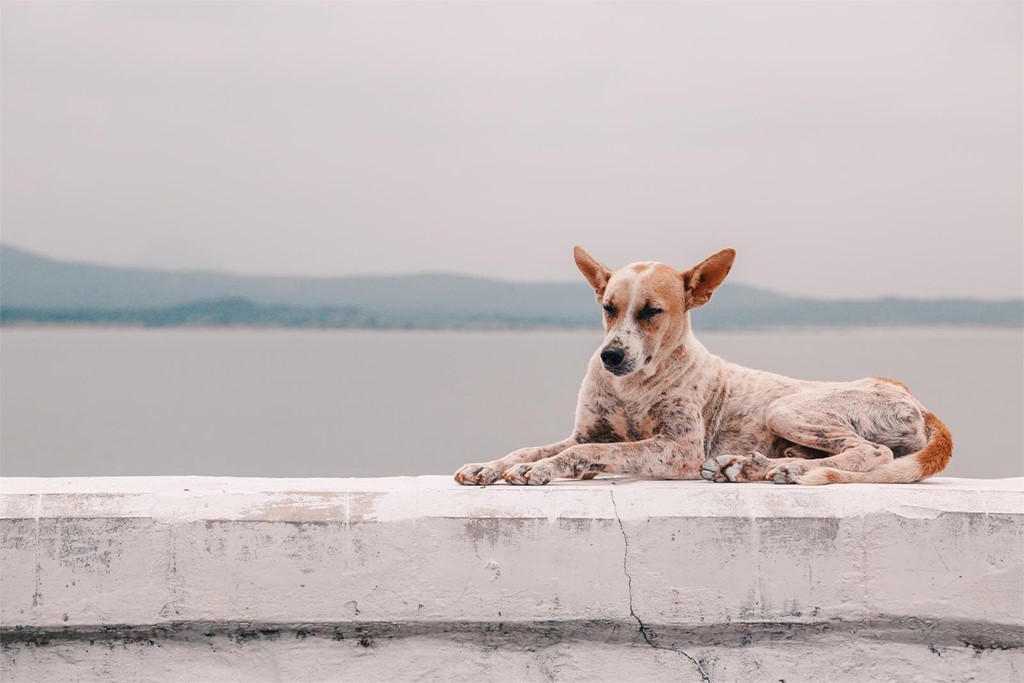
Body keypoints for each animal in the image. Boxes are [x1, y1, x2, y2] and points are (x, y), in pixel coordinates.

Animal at [456, 248, 950, 489]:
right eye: (607, 307)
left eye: (651, 311)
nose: (610, 356)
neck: (635, 385)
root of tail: (916, 401)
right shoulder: (587, 432)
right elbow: (530, 448)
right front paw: (490, 466)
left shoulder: (678, 449)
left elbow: (580, 454)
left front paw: (539, 471)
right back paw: (752, 466)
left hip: (789, 409)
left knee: (873, 453)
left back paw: (779, 471)